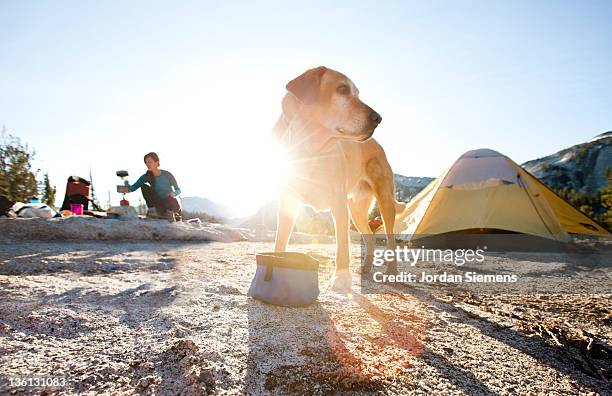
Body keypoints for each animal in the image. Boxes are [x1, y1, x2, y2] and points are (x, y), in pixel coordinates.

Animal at [272, 66, 402, 290]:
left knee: (390, 240)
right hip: (356, 210)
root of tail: (378, 145)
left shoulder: (338, 203)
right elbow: (280, 239)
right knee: (370, 238)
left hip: (385, 202)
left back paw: (391, 272)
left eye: (357, 93)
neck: (310, 149)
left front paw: (340, 278)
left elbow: (342, 246)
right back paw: (366, 267)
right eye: (342, 89)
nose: (378, 118)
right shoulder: (288, 199)